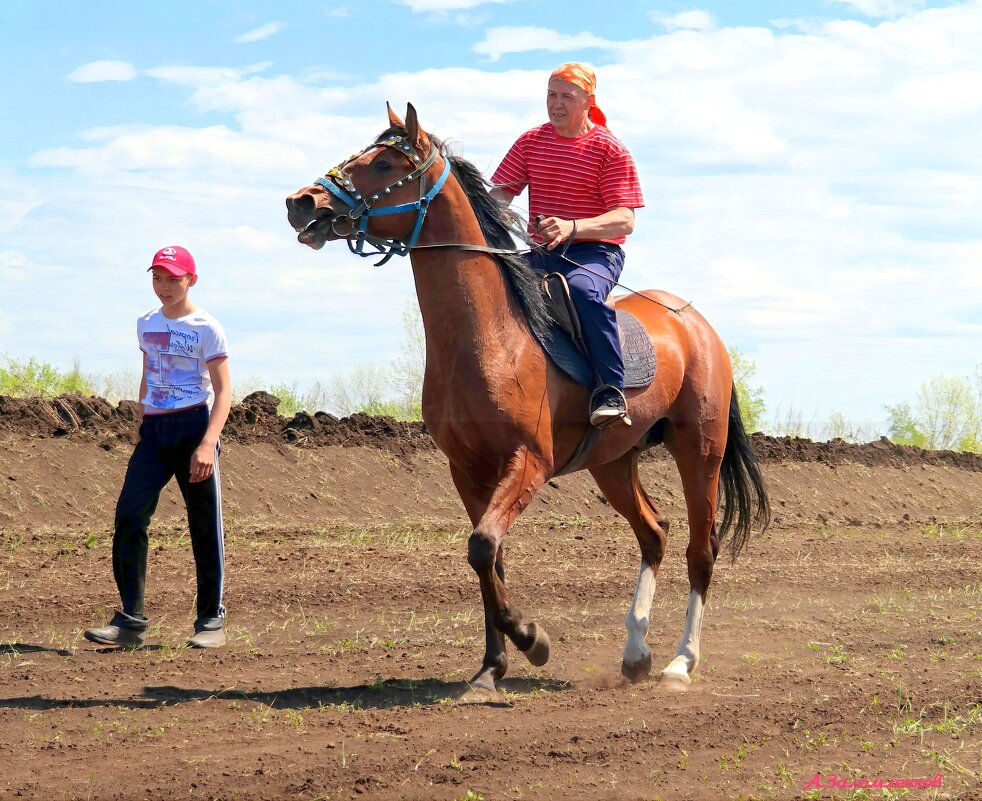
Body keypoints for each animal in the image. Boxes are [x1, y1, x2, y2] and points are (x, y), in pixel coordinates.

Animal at [284, 108, 768, 700]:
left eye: (383, 163)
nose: (302, 201)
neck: (488, 337)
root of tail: (697, 323)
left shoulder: (529, 462)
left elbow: (482, 548)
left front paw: (531, 640)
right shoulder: (467, 470)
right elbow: (489, 559)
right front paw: (491, 668)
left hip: (699, 451)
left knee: (701, 550)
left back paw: (680, 663)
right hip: (612, 463)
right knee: (654, 534)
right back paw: (636, 654)